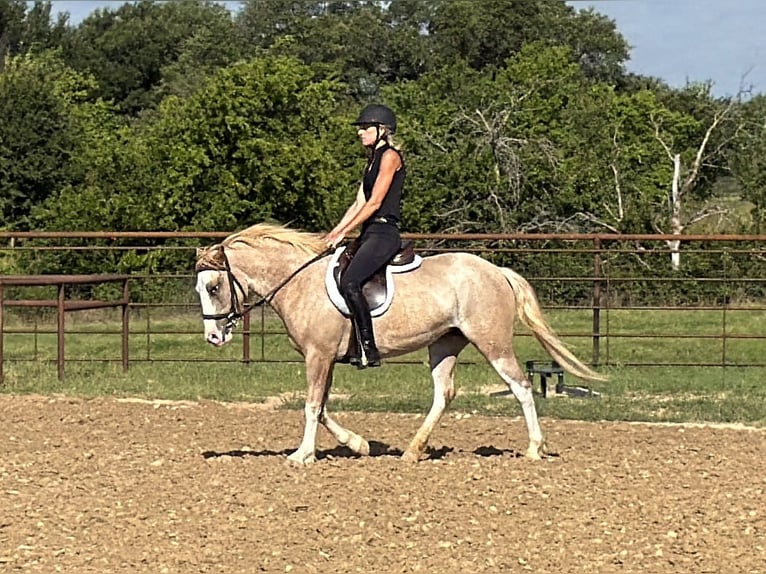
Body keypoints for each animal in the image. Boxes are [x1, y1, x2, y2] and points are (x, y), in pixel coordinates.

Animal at [194, 223, 606, 465]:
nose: (213, 337)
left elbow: (312, 406)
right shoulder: (324, 358)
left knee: (520, 387)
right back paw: (412, 451)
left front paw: (301, 456)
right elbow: (322, 407)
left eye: (213, 287)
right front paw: (359, 445)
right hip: (444, 344)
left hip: (492, 342)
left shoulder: (318, 355)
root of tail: (496, 272)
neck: (299, 281)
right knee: (444, 394)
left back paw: (535, 448)